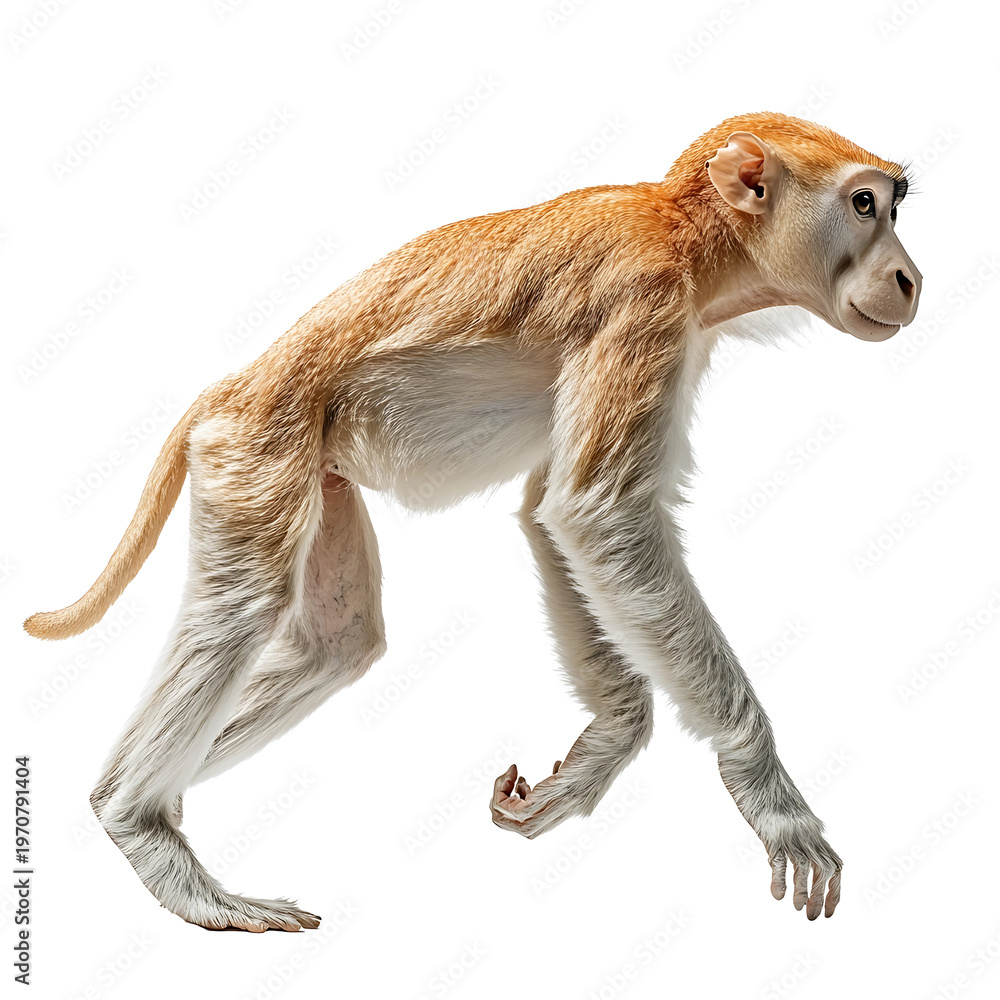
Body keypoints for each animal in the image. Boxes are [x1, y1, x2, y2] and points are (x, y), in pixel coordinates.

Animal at [24, 112, 921, 931]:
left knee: (339, 640)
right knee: (242, 611)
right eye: (866, 204)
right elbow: (597, 516)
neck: (685, 229)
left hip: (309, 469)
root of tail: (234, 388)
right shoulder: (645, 304)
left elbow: (550, 517)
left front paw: (600, 751)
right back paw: (136, 823)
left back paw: (143, 808)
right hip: (253, 453)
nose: (909, 278)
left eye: (890, 205)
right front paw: (766, 789)